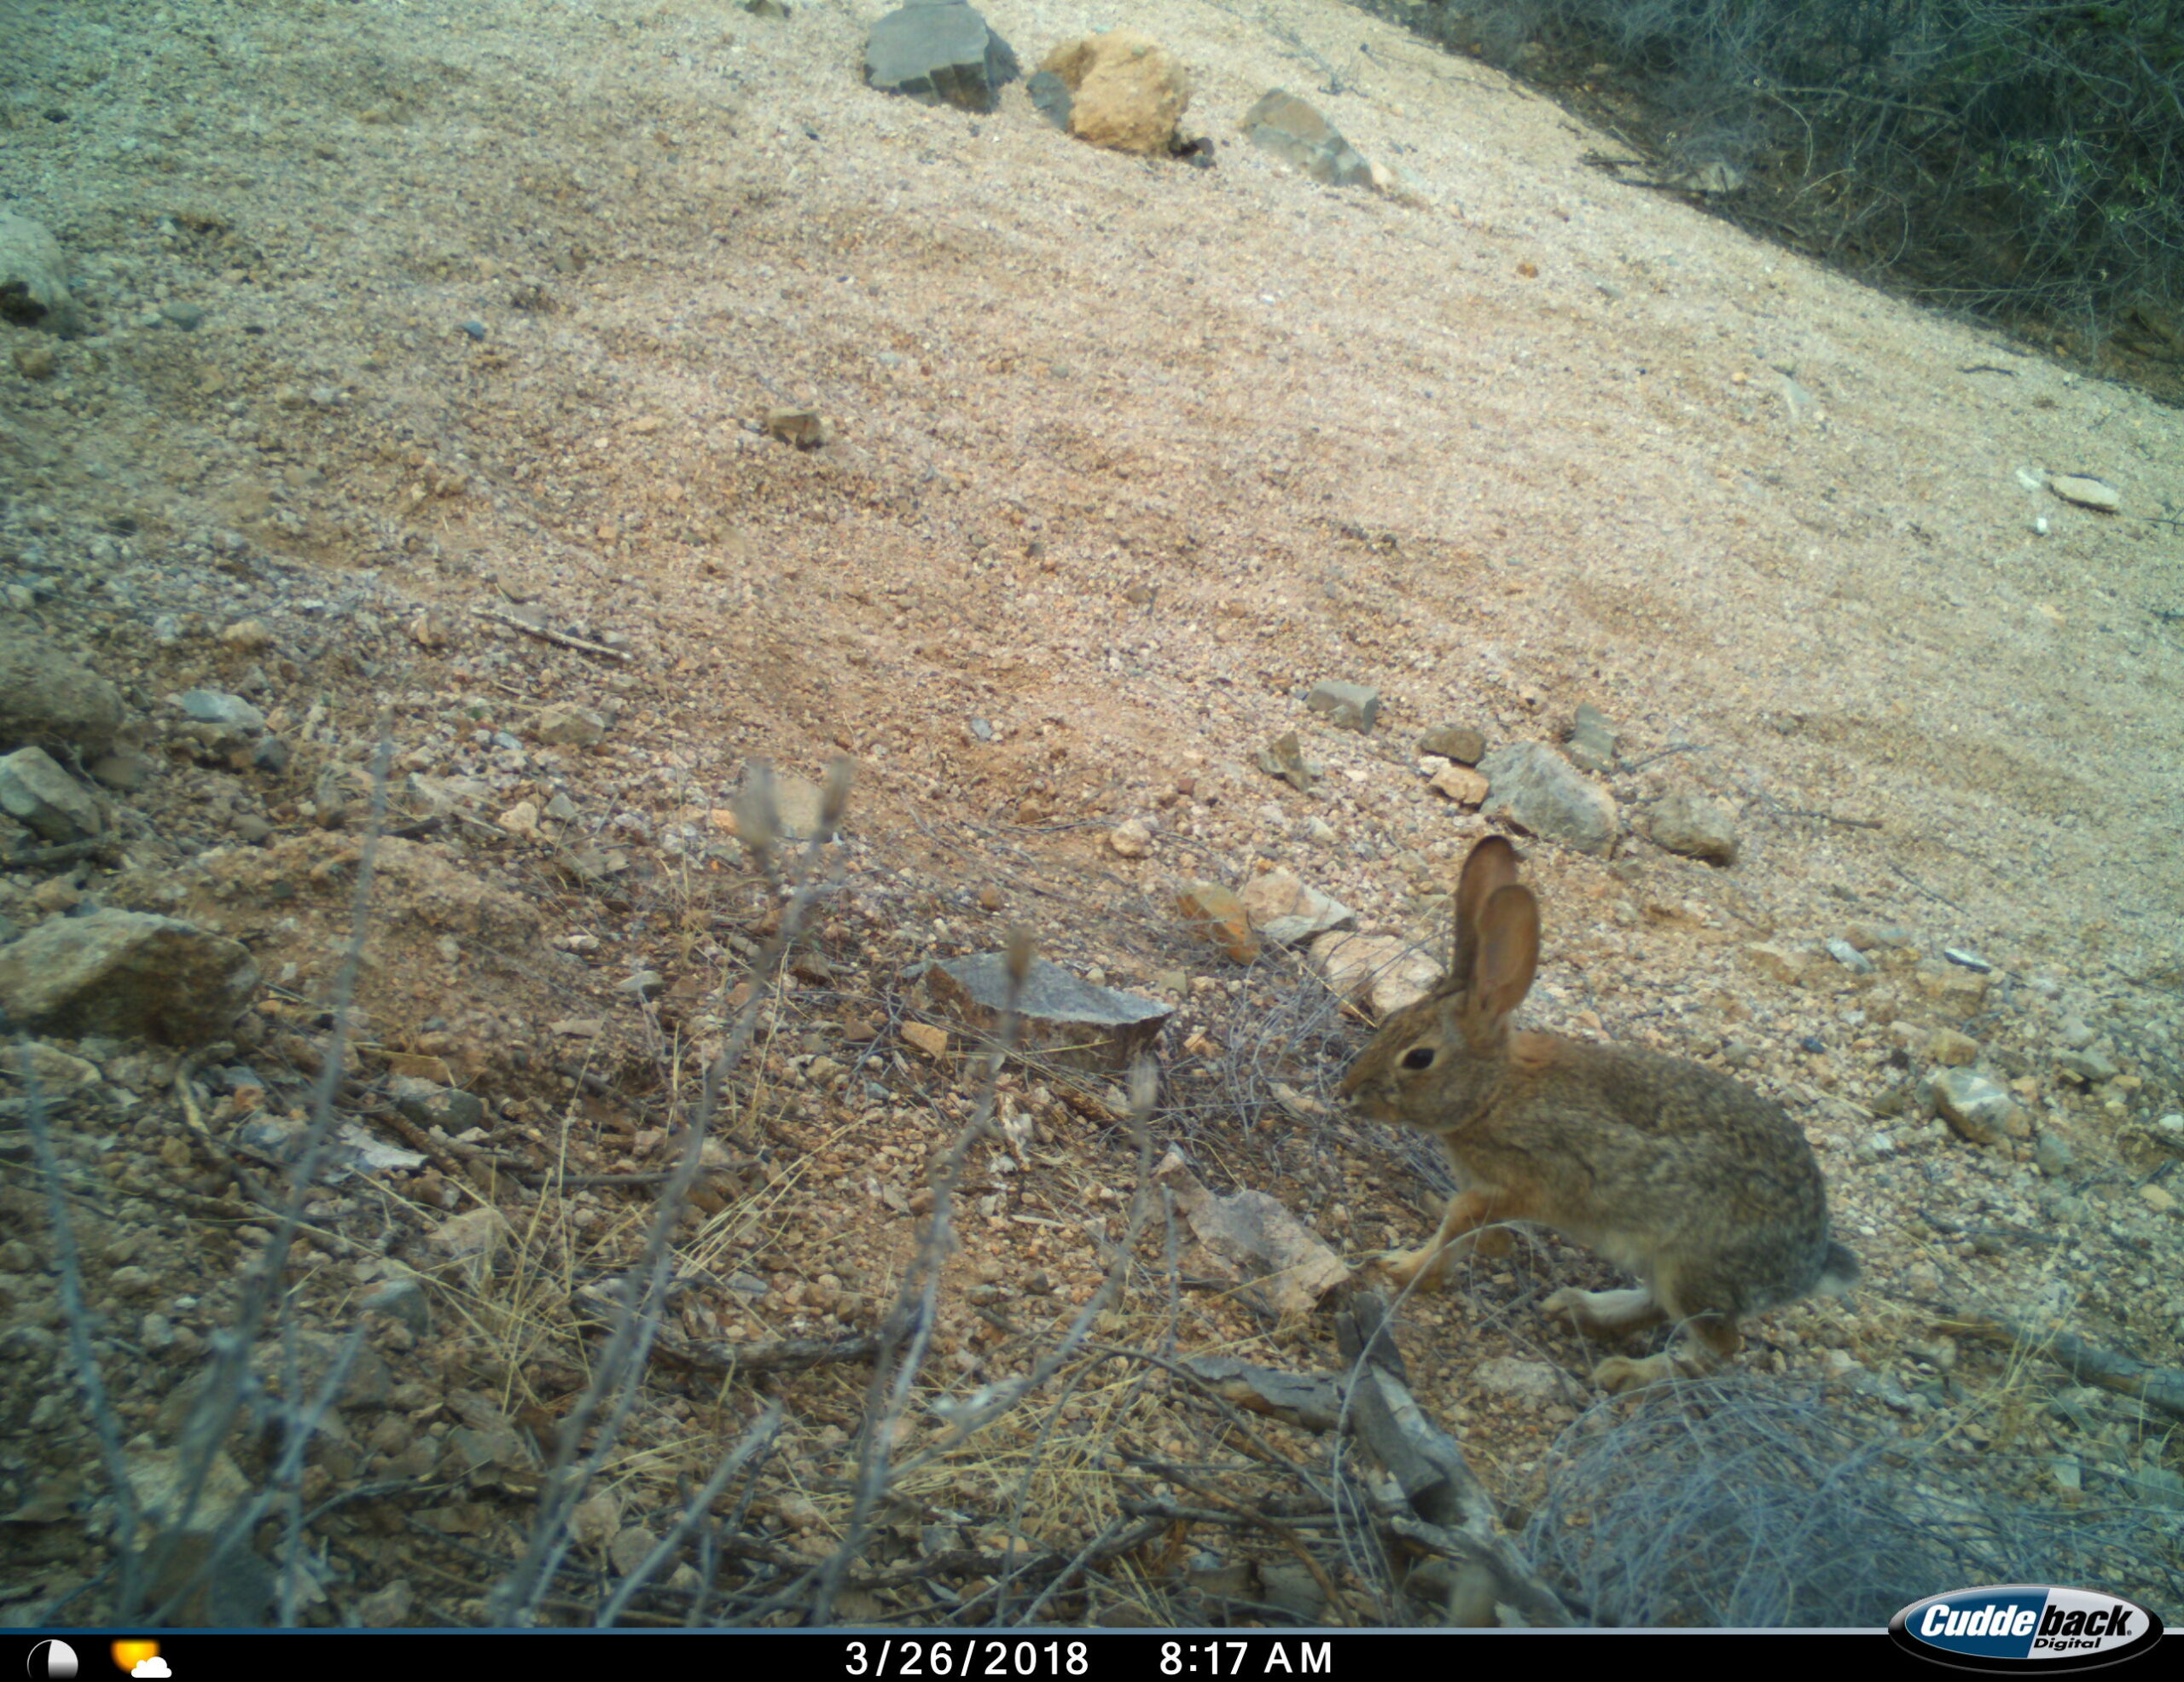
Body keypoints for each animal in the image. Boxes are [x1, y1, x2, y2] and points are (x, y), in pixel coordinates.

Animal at [1336, 830, 1851, 1389]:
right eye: (1393, 1022)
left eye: (1419, 1058)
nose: (1349, 1091)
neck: (1494, 1094)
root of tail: (1812, 1263)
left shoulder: (1521, 1184)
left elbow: (1455, 1226)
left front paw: (1402, 1269)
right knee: (1660, 1309)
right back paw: (1579, 1311)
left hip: (1694, 1271)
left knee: (1716, 1349)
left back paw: (1626, 1375)